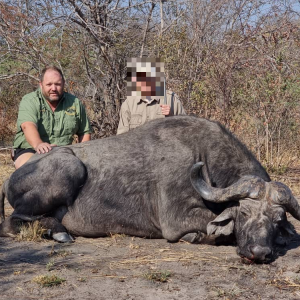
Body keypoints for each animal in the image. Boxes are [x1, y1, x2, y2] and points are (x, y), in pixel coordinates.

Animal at [0, 116, 298, 264]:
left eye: (277, 220)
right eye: (244, 213)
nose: (259, 252)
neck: (203, 157)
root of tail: (10, 179)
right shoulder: (177, 219)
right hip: (69, 167)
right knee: (12, 222)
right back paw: (58, 232)